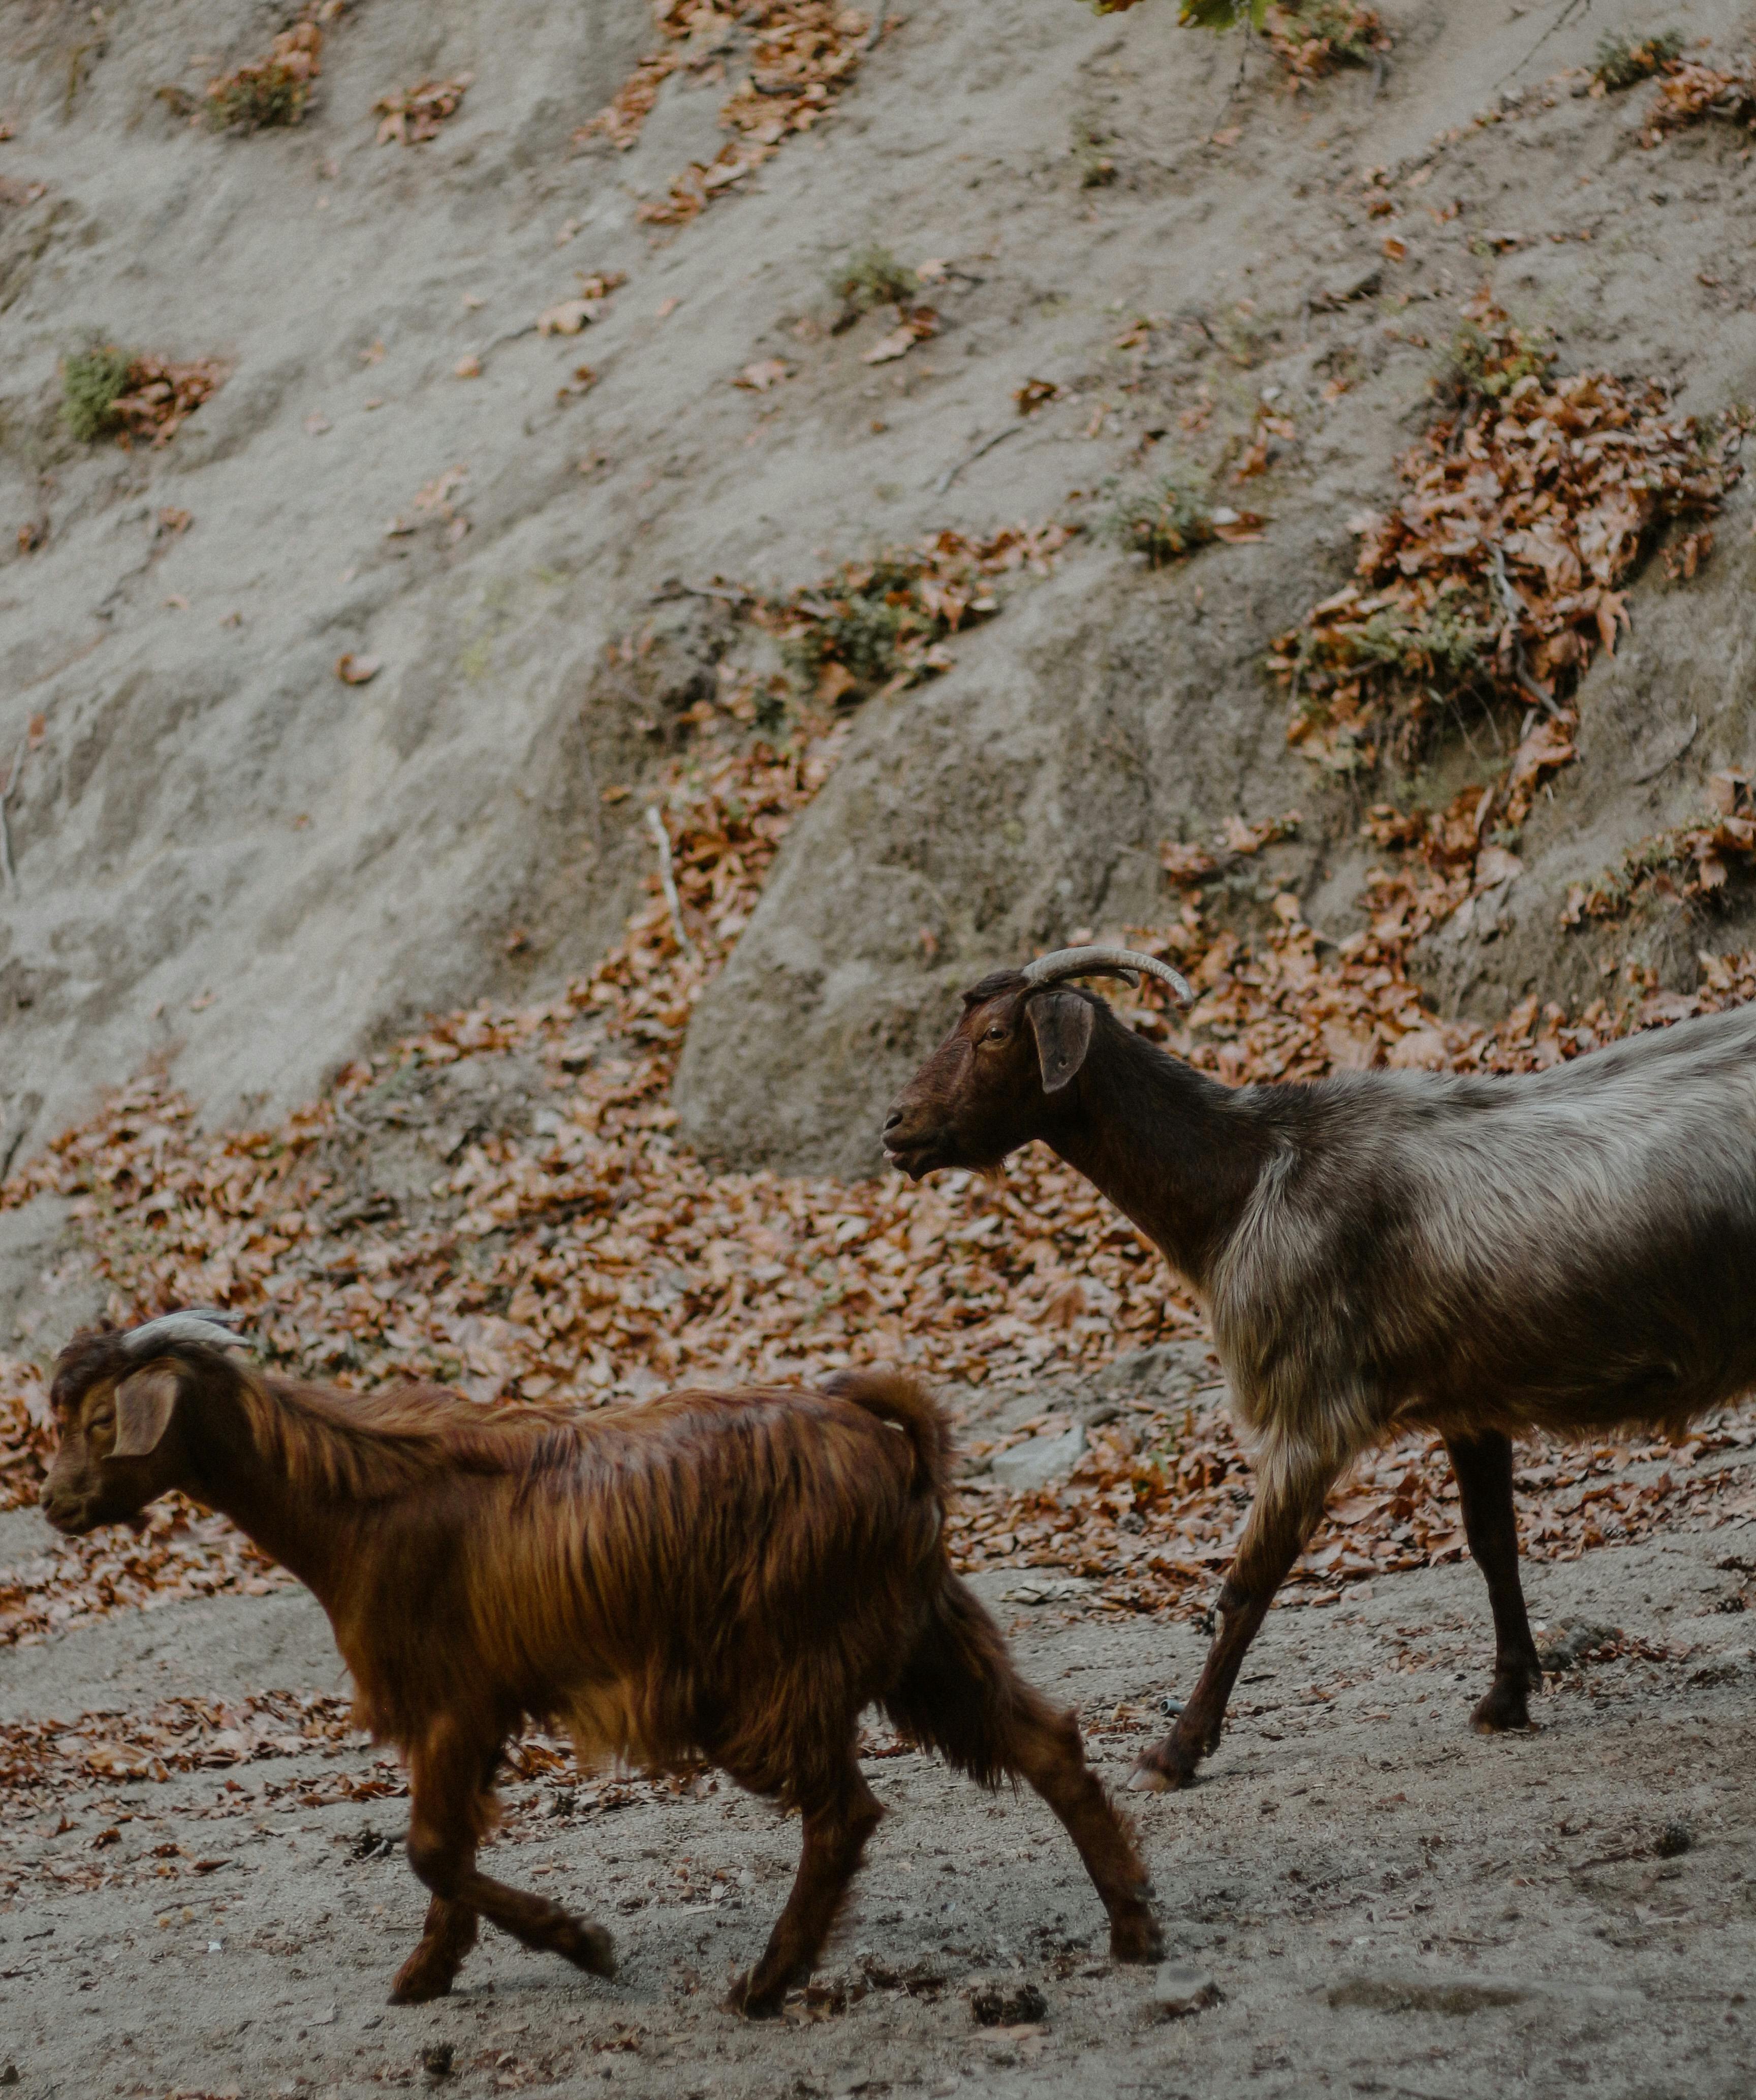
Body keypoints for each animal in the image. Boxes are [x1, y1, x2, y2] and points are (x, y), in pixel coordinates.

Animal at [40, 1312, 1162, 2009]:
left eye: (102, 1420)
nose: (54, 1504)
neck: (359, 1499)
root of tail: (892, 1443)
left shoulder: (456, 1703)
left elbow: (432, 1849)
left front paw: (582, 1942)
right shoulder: (462, 1714)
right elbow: (447, 1849)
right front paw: (428, 1973)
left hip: (781, 1667)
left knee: (846, 1813)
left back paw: (765, 1985)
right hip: (926, 1634)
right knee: (1047, 1741)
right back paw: (1135, 1930)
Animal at [883, 944, 1756, 1792]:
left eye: (997, 1034)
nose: (896, 1125)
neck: (1246, 1182)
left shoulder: (1311, 1407)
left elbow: (1246, 1587)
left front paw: (1174, 1753)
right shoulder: (1469, 1400)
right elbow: (1492, 1542)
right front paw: (1506, 1698)